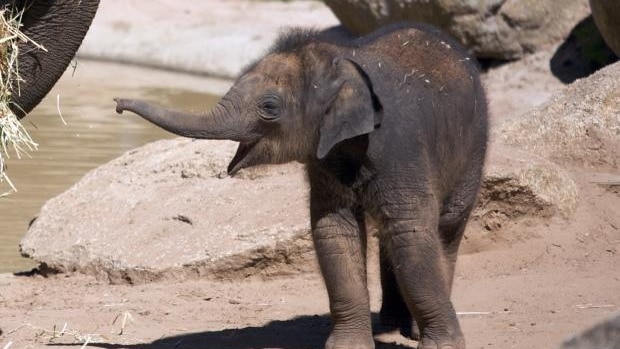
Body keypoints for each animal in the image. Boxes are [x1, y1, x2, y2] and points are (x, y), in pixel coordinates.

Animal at [114, 21, 486, 348]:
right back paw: (392, 324)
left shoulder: (401, 147)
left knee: (445, 228)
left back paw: (412, 329)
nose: (118, 104)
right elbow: (334, 231)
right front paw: (347, 347)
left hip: (473, 153)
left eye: (269, 107)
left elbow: (411, 232)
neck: (344, 63)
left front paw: (443, 347)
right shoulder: (325, 162)